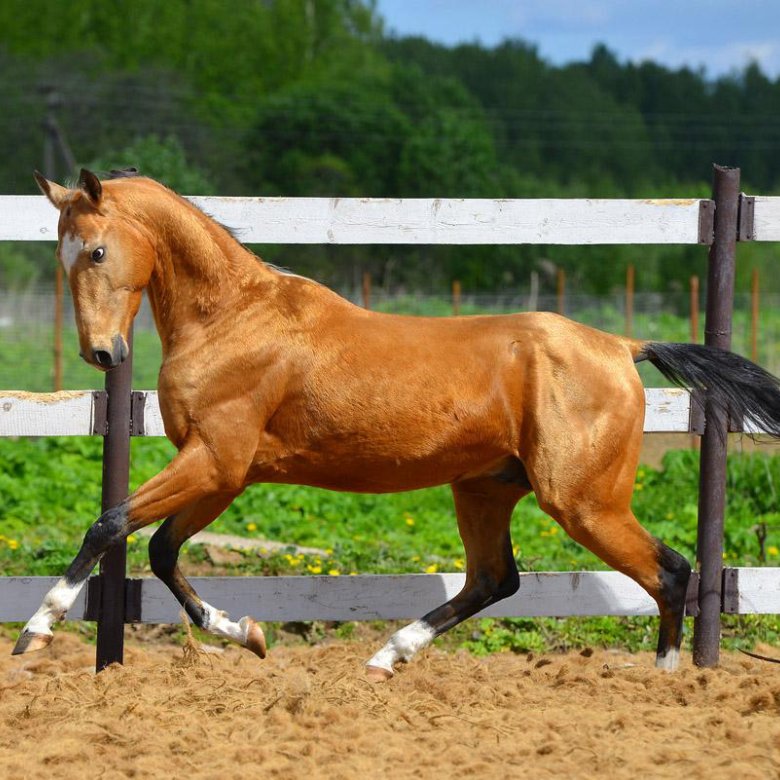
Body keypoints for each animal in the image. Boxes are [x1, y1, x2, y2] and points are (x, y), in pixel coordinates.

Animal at [15, 169, 780, 676]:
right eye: (60, 254)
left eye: (97, 251)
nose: (102, 354)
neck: (233, 318)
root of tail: (622, 346)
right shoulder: (226, 474)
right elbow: (161, 552)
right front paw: (249, 634)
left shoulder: (215, 461)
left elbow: (111, 525)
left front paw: (37, 631)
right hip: (486, 487)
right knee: (493, 580)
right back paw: (387, 655)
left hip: (583, 501)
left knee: (670, 570)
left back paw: (666, 679)